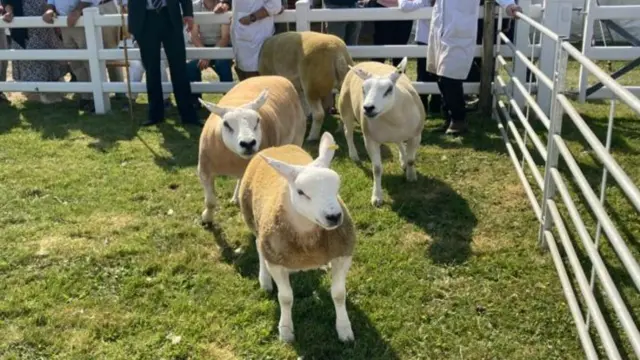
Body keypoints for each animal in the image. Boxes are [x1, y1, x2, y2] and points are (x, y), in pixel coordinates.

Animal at [198, 74, 308, 224]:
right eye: (226, 124)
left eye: (257, 121)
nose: (248, 143)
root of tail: (274, 76)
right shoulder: (204, 170)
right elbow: (210, 201)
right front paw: (207, 218)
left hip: (297, 137)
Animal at [238, 131, 356, 344]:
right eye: (301, 192)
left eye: (337, 185)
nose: (334, 216)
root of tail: (277, 147)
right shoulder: (276, 260)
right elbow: (285, 298)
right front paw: (285, 330)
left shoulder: (343, 254)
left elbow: (339, 294)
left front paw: (344, 329)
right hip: (253, 221)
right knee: (259, 248)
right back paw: (265, 280)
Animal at [340, 57, 424, 207]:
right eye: (363, 89)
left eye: (389, 89)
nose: (368, 108)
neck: (392, 116)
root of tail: (365, 62)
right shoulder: (370, 140)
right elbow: (377, 169)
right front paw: (377, 197)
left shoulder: (416, 135)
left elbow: (411, 160)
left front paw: (411, 176)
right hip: (345, 108)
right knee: (348, 132)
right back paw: (354, 155)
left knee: (399, 142)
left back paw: (403, 160)